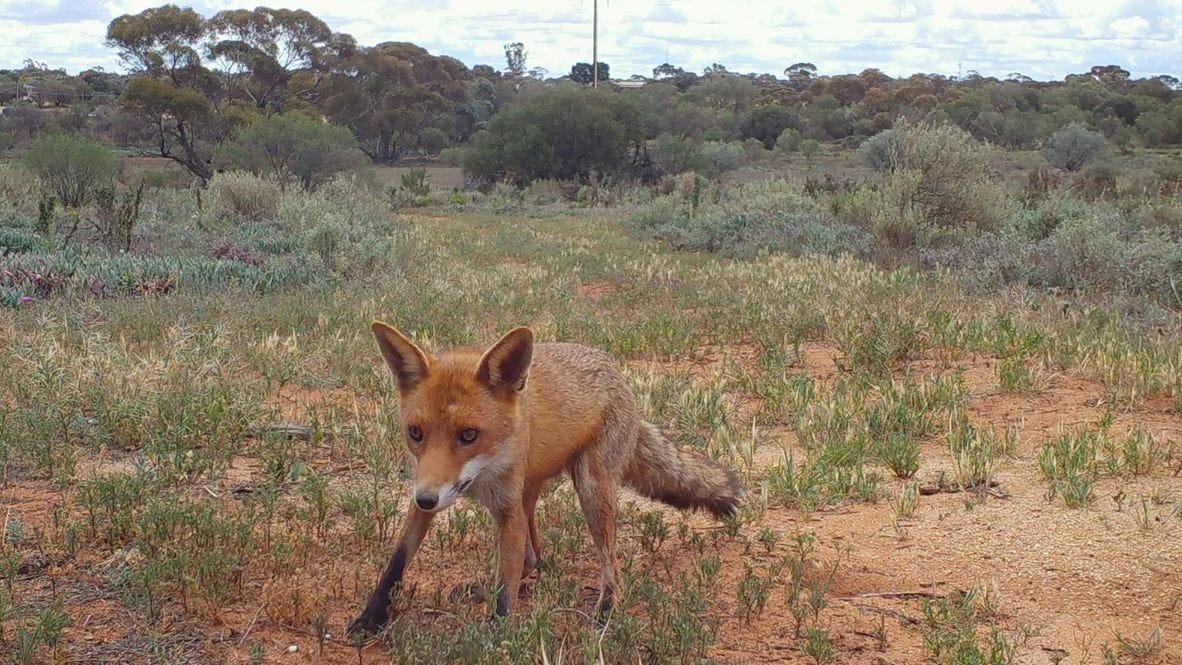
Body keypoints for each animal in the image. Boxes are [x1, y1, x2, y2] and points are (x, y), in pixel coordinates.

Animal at [347, 322, 745, 636]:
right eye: (415, 433)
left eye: (469, 435)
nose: (427, 499)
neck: (482, 476)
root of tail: (613, 367)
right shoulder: (427, 490)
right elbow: (396, 563)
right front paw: (371, 618)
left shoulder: (505, 509)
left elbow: (506, 589)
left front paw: (497, 637)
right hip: (530, 491)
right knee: (533, 558)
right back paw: (488, 587)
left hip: (590, 488)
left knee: (609, 566)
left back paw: (605, 611)